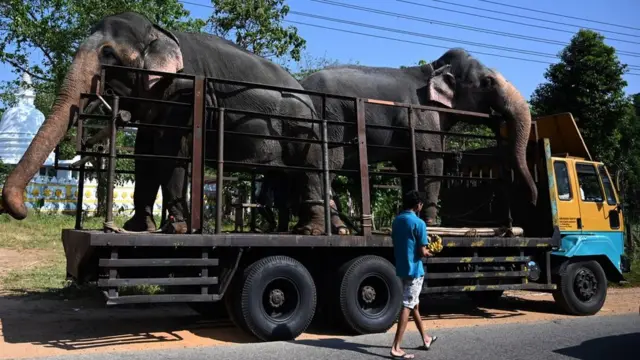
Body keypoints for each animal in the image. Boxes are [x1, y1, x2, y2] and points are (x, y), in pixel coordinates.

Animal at [1, 11, 336, 235]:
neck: (159, 33)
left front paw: (176, 229)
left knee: (308, 171)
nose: (24, 210)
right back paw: (317, 229)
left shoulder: (182, 92)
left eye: (108, 54)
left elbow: (168, 149)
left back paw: (311, 232)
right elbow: (144, 152)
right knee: (290, 175)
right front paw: (137, 226)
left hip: (303, 129)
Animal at [298, 47, 536, 225]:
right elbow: (432, 162)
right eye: (488, 82)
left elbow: (406, 167)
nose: (533, 202)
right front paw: (430, 225)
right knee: (325, 163)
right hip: (329, 118)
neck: (434, 67)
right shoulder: (423, 115)